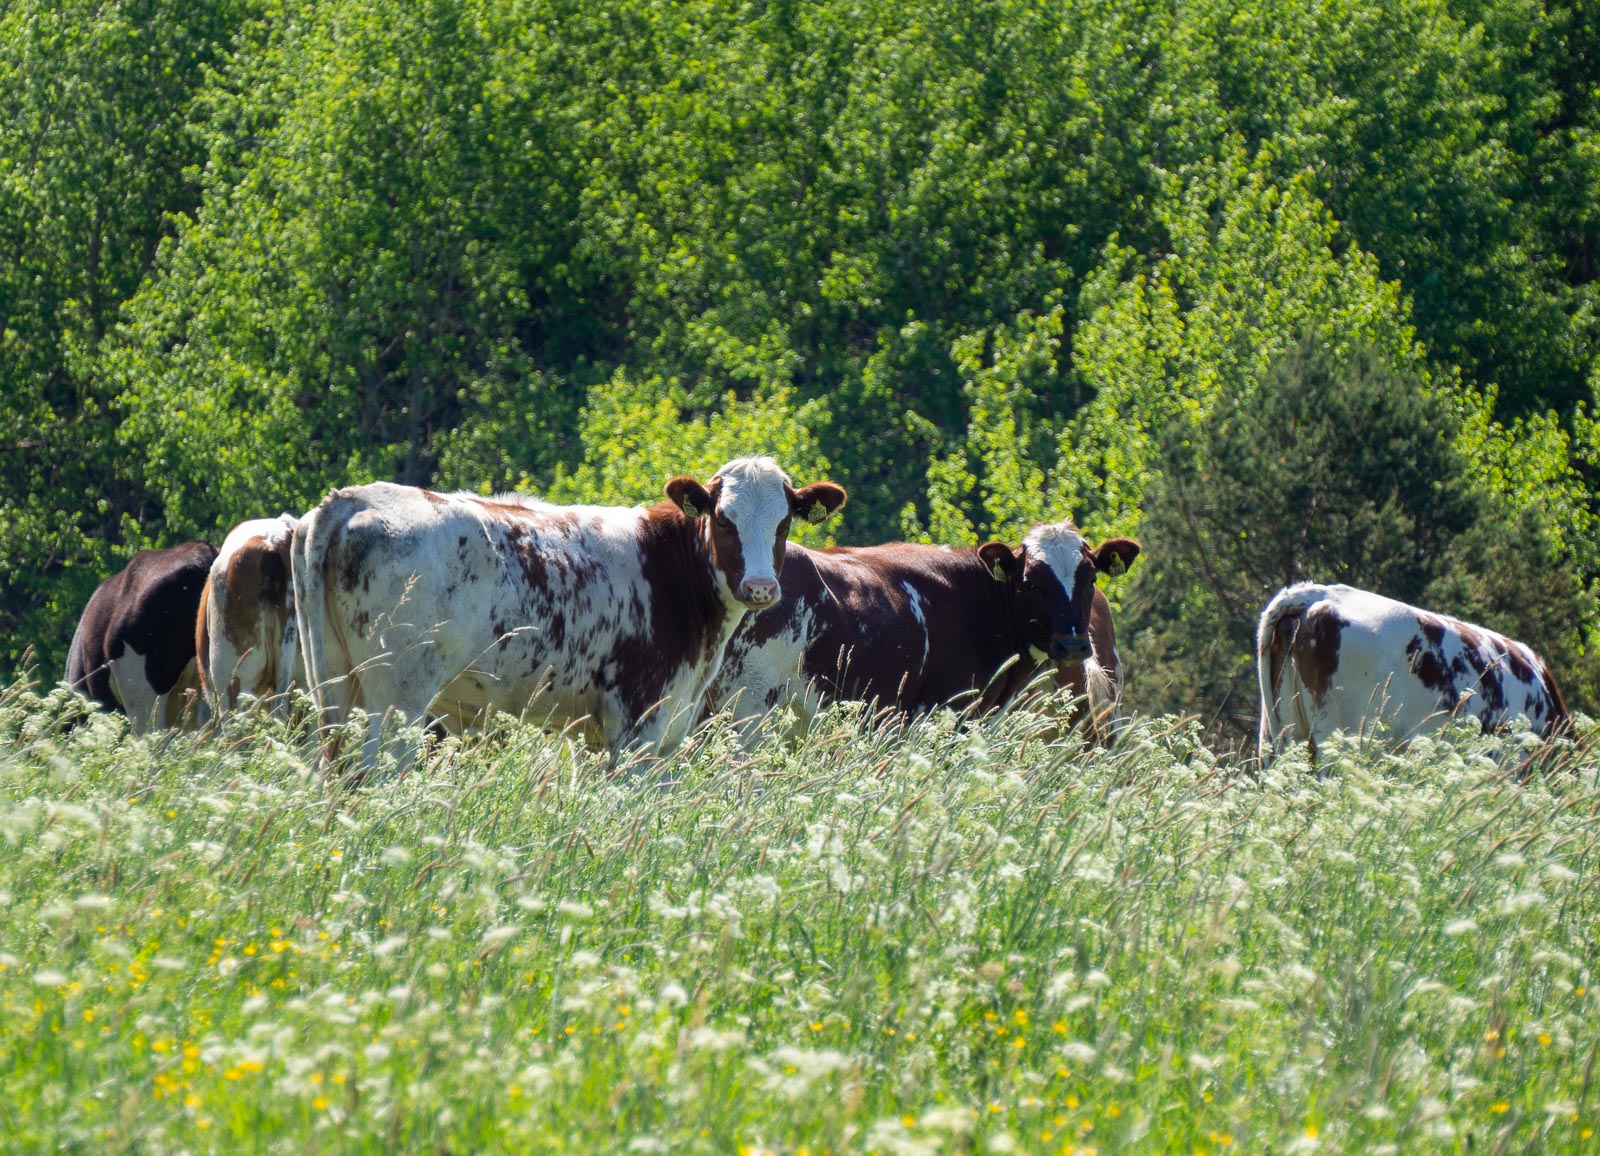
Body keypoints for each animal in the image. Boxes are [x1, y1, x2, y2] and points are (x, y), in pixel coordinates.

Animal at [290, 457, 846, 772]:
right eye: (724, 520)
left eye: (784, 522)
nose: (760, 587)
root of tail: (352, 499)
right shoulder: (638, 723)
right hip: (396, 700)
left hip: (333, 689)